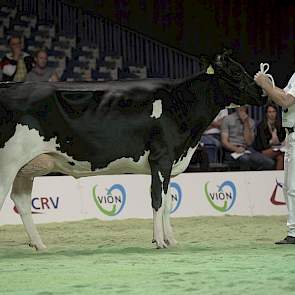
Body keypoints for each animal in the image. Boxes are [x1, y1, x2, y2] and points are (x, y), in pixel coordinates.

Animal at [0, 52, 268, 251]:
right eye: (236, 72)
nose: (263, 93)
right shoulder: (161, 157)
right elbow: (158, 199)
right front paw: (159, 241)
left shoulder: (170, 162)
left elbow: (169, 201)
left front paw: (171, 240)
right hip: (8, 162)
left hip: (26, 168)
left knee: (21, 201)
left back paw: (39, 244)